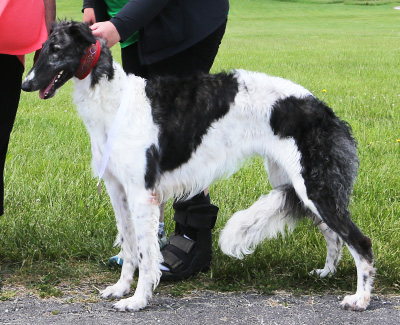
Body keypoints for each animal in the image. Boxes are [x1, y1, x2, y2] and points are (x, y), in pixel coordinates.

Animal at [21, 21, 376, 310]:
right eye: (41, 49)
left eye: (56, 50)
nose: (26, 84)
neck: (116, 101)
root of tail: (324, 109)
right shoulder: (117, 189)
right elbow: (129, 244)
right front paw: (121, 288)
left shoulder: (141, 193)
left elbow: (146, 253)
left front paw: (137, 300)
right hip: (300, 186)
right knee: (333, 234)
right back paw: (326, 273)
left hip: (313, 186)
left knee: (360, 242)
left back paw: (360, 299)